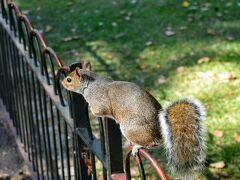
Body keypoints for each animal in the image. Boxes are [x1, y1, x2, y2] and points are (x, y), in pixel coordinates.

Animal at [62, 61, 206, 176]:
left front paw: (92, 110)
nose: (62, 83)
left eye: (69, 80)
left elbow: (99, 111)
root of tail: (160, 131)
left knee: (151, 143)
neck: (90, 85)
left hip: (129, 128)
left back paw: (137, 146)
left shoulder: (99, 101)